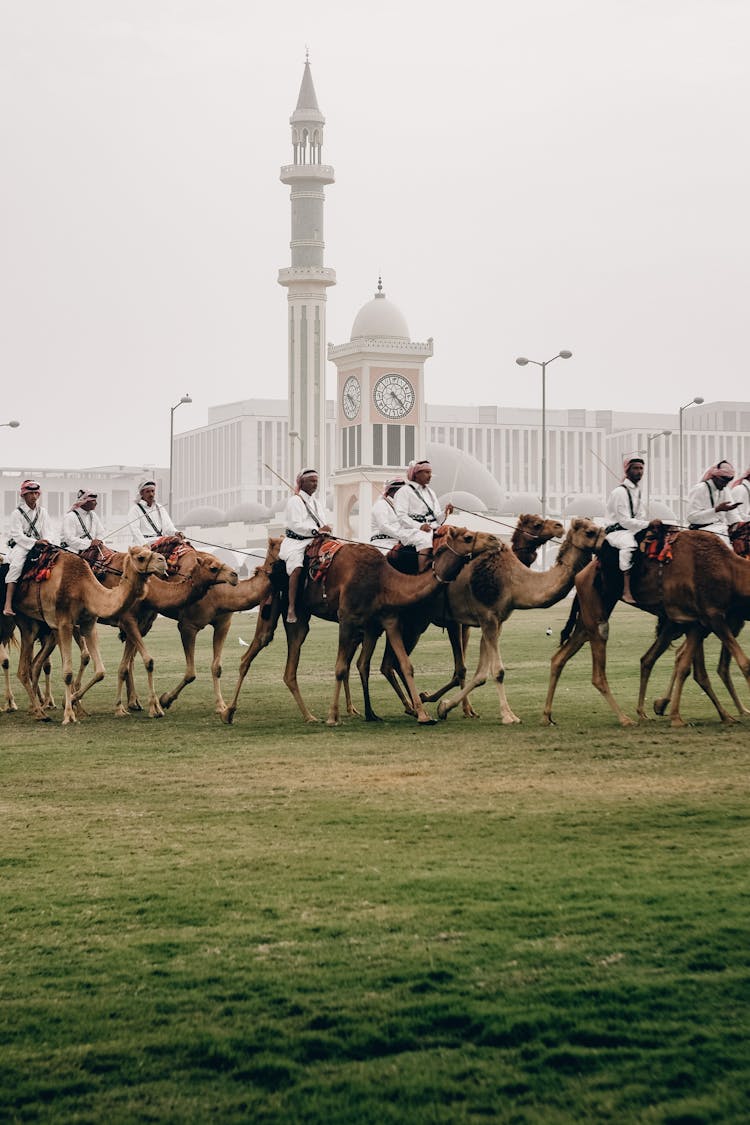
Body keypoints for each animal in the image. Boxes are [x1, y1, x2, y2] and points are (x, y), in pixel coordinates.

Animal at [11, 549, 167, 724]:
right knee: (23, 669)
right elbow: (68, 673)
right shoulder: (65, 623)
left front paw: (72, 701)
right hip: (26, 623)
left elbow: (100, 671)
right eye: (141, 557)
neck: (83, 588)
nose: (163, 561)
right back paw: (38, 711)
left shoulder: (88, 624)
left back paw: (37, 710)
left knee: (34, 665)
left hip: (43, 626)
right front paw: (69, 715)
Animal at [222, 526, 503, 729]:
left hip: (302, 618)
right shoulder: (348, 618)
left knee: (290, 668)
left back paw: (310, 716)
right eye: (468, 537)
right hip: (275, 605)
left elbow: (402, 665)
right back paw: (229, 712)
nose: (495, 540)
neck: (384, 579)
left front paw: (423, 714)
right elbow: (340, 668)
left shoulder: (386, 620)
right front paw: (333, 717)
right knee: (253, 651)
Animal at [382, 513, 562, 720]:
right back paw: (413, 707)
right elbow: (460, 669)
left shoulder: (467, 624)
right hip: (413, 623)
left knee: (391, 663)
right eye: (537, 524)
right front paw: (438, 700)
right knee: (392, 662)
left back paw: (412, 706)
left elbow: (460, 669)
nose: (559, 526)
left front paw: (463, 707)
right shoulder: (453, 621)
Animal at [541, 526, 750, 729]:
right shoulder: (713, 615)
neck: (728, 570)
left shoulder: (696, 622)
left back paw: (547, 716)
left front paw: (676, 715)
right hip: (595, 610)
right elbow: (744, 663)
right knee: (599, 670)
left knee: (560, 657)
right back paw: (625, 719)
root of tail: (581, 574)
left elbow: (685, 666)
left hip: (590, 615)